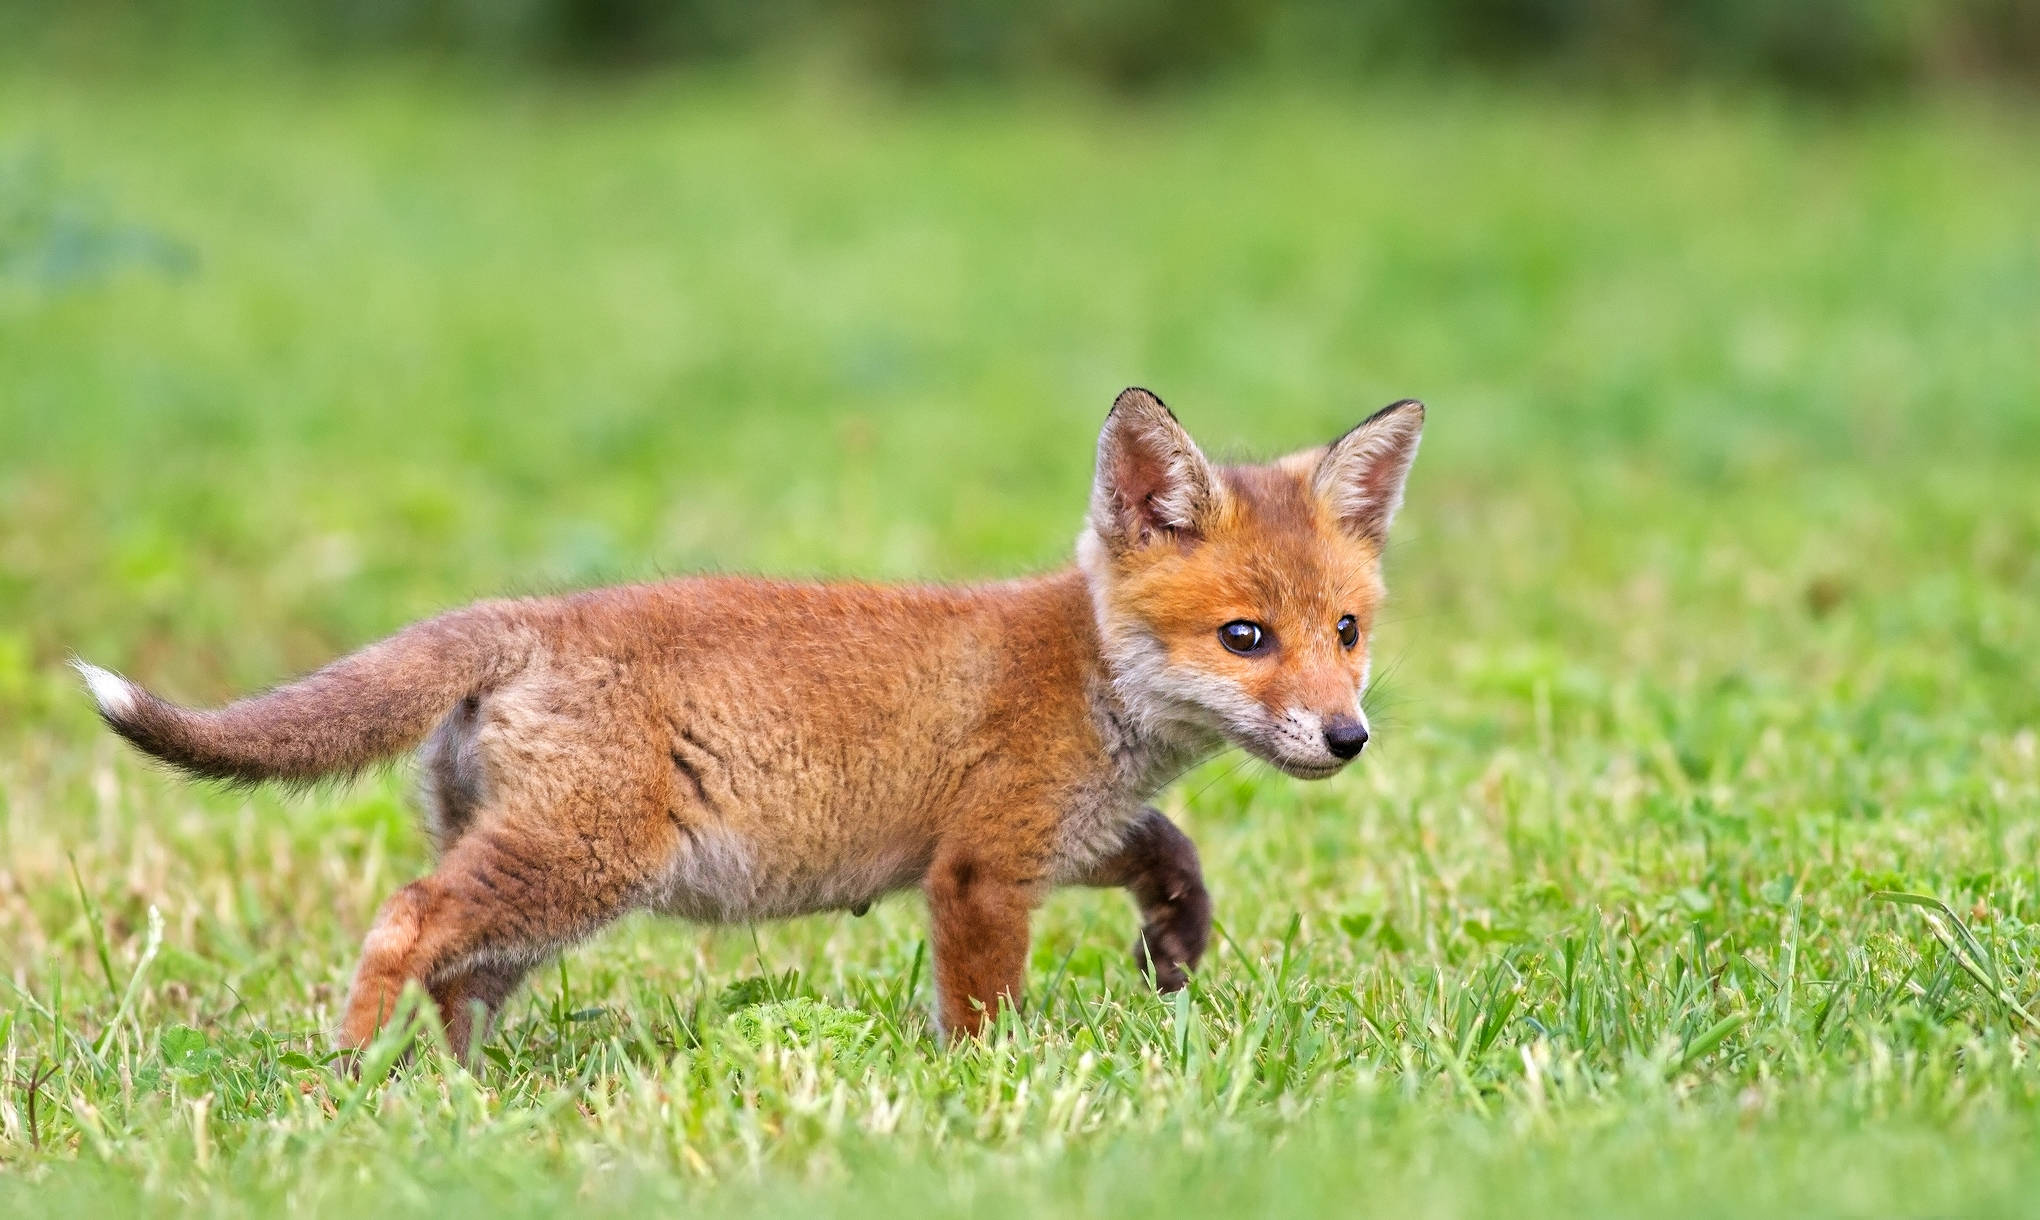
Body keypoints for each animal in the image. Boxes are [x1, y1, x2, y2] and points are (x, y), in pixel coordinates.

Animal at [75, 388, 1424, 1059]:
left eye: (1347, 629)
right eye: (1245, 637)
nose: (1346, 737)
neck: (1086, 670)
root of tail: (526, 614)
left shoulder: (1059, 833)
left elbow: (1170, 851)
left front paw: (1174, 948)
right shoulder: (982, 867)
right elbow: (983, 1009)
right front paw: (989, 1095)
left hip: (540, 889)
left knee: (458, 975)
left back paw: (468, 1099)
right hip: (576, 863)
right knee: (406, 920)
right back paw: (351, 1073)